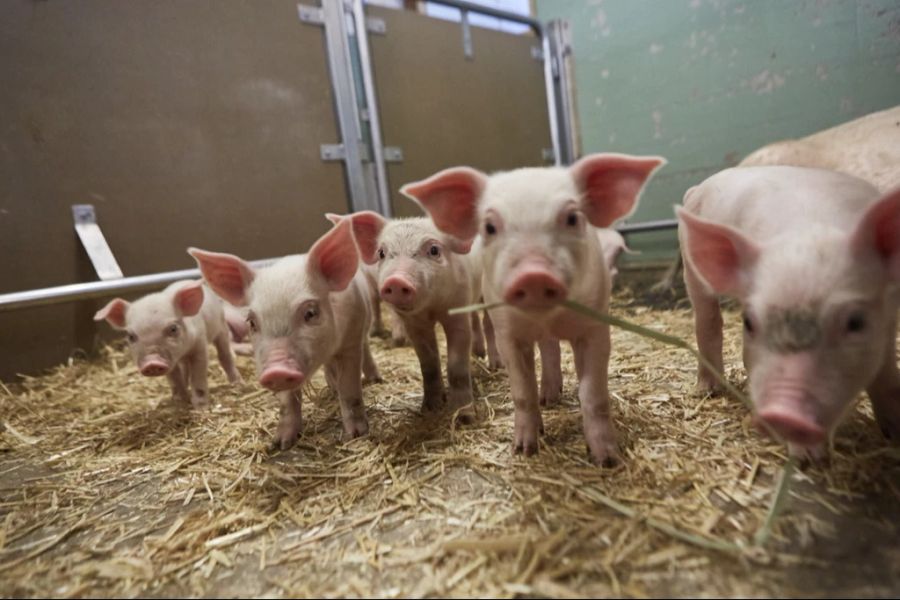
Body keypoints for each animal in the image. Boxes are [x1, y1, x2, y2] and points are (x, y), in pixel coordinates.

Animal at [94, 280, 239, 408]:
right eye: (131, 336)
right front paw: (180, 400)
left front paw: (201, 407)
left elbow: (198, 375)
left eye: (173, 329)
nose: (152, 362)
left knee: (224, 355)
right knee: (185, 367)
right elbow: (175, 378)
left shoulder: (200, 344)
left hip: (221, 327)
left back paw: (237, 384)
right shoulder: (170, 361)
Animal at [188, 218, 378, 448]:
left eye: (310, 313)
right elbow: (287, 402)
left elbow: (350, 388)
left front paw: (356, 435)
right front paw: (280, 444)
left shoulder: (350, 341)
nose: (276, 370)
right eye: (251, 322)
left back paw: (374, 380)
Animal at [338, 211, 486, 422]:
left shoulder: (457, 311)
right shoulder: (415, 325)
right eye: (381, 253)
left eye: (434, 250)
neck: (431, 308)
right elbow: (428, 364)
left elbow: (457, 366)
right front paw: (430, 408)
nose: (396, 281)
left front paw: (464, 418)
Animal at [400, 154, 660, 464]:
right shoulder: (507, 334)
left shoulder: (595, 328)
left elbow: (594, 395)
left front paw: (607, 460)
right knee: (548, 350)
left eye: (572, 218)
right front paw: (524, 450)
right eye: (489, 227)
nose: (533, 274)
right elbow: (523, 392)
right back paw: (548, 399)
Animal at [680, 166, 900, 458]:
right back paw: (708, 390)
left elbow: (886, 372)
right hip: (690, 267)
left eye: (856, 322)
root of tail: (698, 188)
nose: (783, 416)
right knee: (707, 320)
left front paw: (894, 432)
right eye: (749, 322)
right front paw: (806, 457)